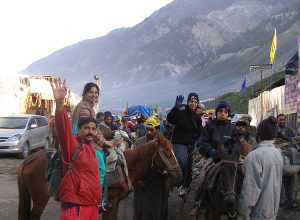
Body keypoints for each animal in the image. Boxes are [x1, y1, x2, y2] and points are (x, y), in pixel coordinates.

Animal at [17, 135, 182, 220]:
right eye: (168, 154)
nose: (179, 176)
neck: (126, 167)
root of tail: (30, 159)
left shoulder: (114, 204)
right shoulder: (112, 202)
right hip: (40, 200)